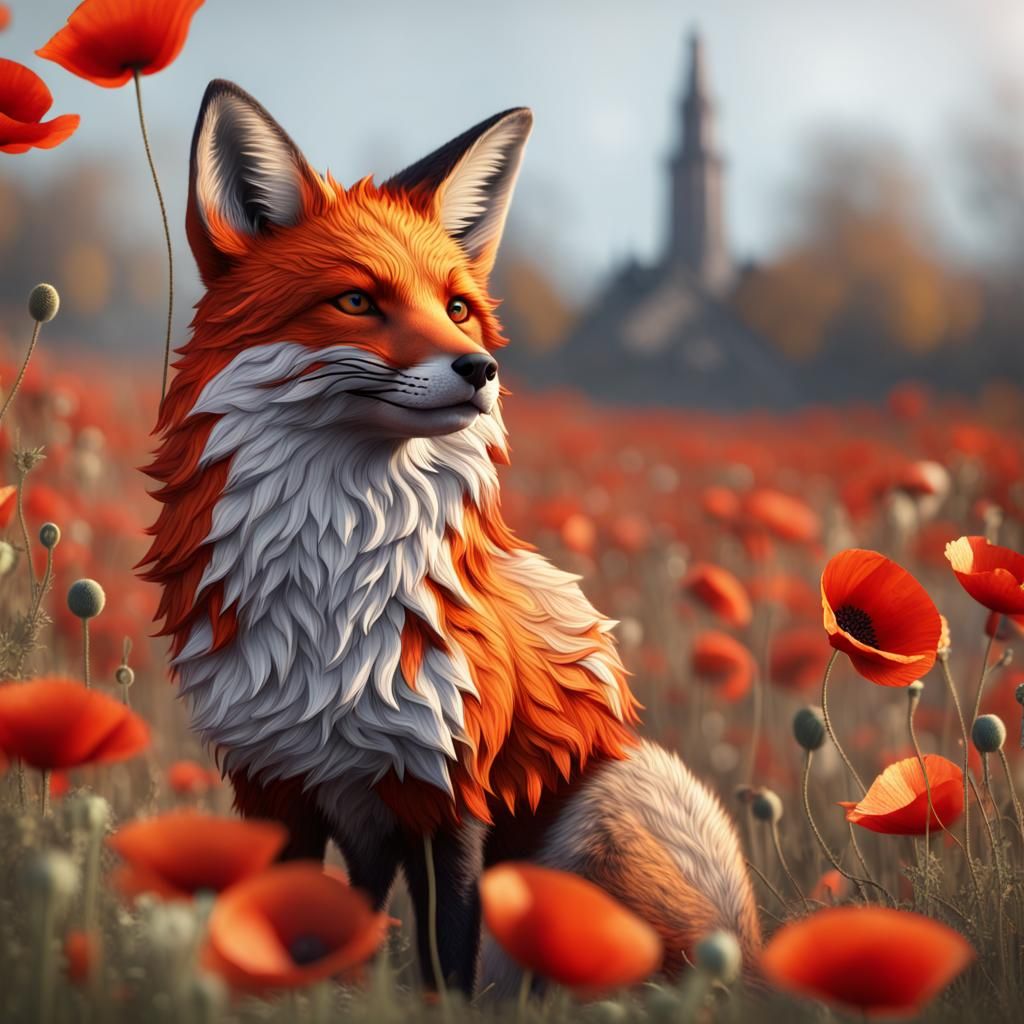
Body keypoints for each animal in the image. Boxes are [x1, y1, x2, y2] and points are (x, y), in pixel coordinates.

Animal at [142, 79, 760, 996]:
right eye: (357, 301)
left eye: (459, 307)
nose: (482, 369)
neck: (333, 600)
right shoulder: (276, 787)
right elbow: (293, 936)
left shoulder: (449, 792)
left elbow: (447, 967)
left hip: (609, 806)